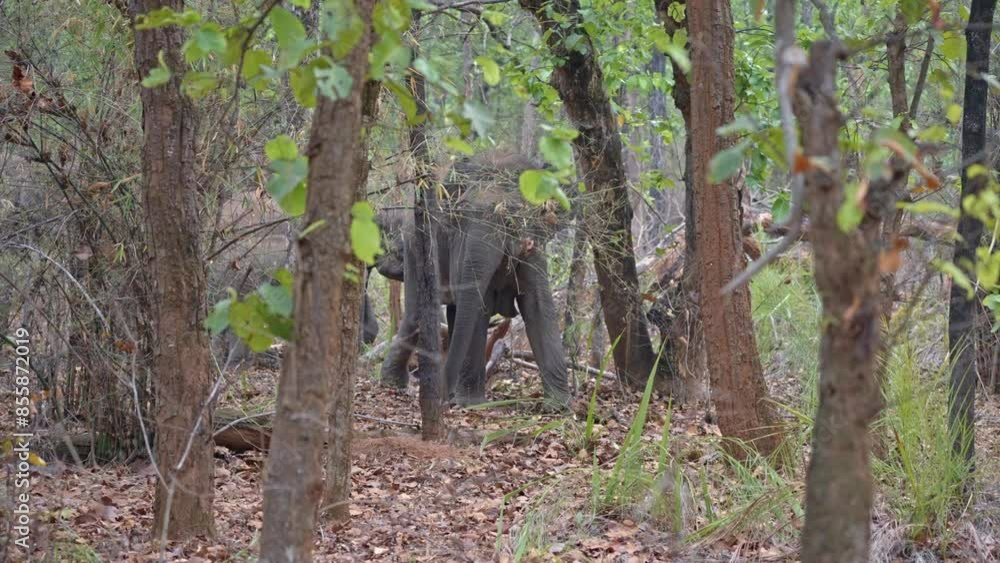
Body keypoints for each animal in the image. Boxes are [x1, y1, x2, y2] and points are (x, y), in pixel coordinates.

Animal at [371, 152, 571, 407]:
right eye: (463, 212)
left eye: (514, 217)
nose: (443, 399)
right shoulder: (460, 240)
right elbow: (479, 303)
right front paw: (471, 404)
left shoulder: (534, 248)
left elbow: (538, 303)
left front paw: (558, 407)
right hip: (415, 244)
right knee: (417, 312)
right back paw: (394, 384)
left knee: (453, 312)